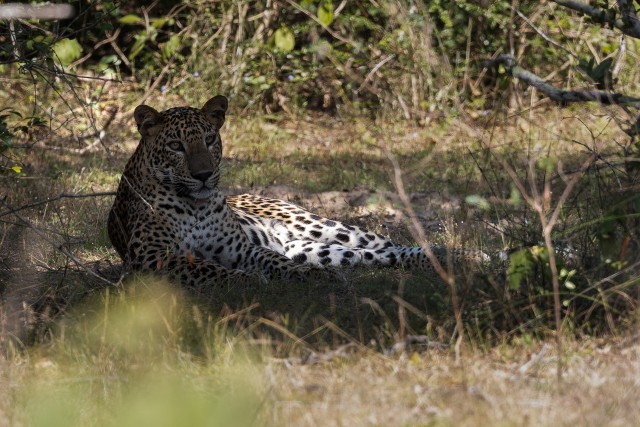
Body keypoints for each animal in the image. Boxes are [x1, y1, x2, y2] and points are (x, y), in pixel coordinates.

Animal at [107, 95, 487, 289]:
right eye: (176, 146)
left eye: (210, 139)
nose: (204, 176)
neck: (195, 205)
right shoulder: (154, 257)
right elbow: (210, 269)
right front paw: (249, 281)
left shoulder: (241, 248)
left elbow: (272, 260)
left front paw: (297, 275)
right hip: (319, 249)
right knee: (386, 255)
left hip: (325, 227)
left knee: (391, 244)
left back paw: (473, 256)